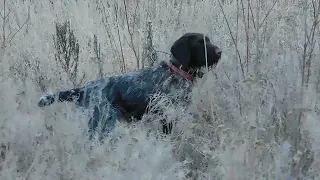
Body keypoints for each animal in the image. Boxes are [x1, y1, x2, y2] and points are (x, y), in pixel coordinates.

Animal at [37, 33, 221, 141]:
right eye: (200, 43)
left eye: (208, 41)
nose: (220, 52)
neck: (176, 72)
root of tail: (83, 89)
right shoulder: (167, 115)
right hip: (102, 123)